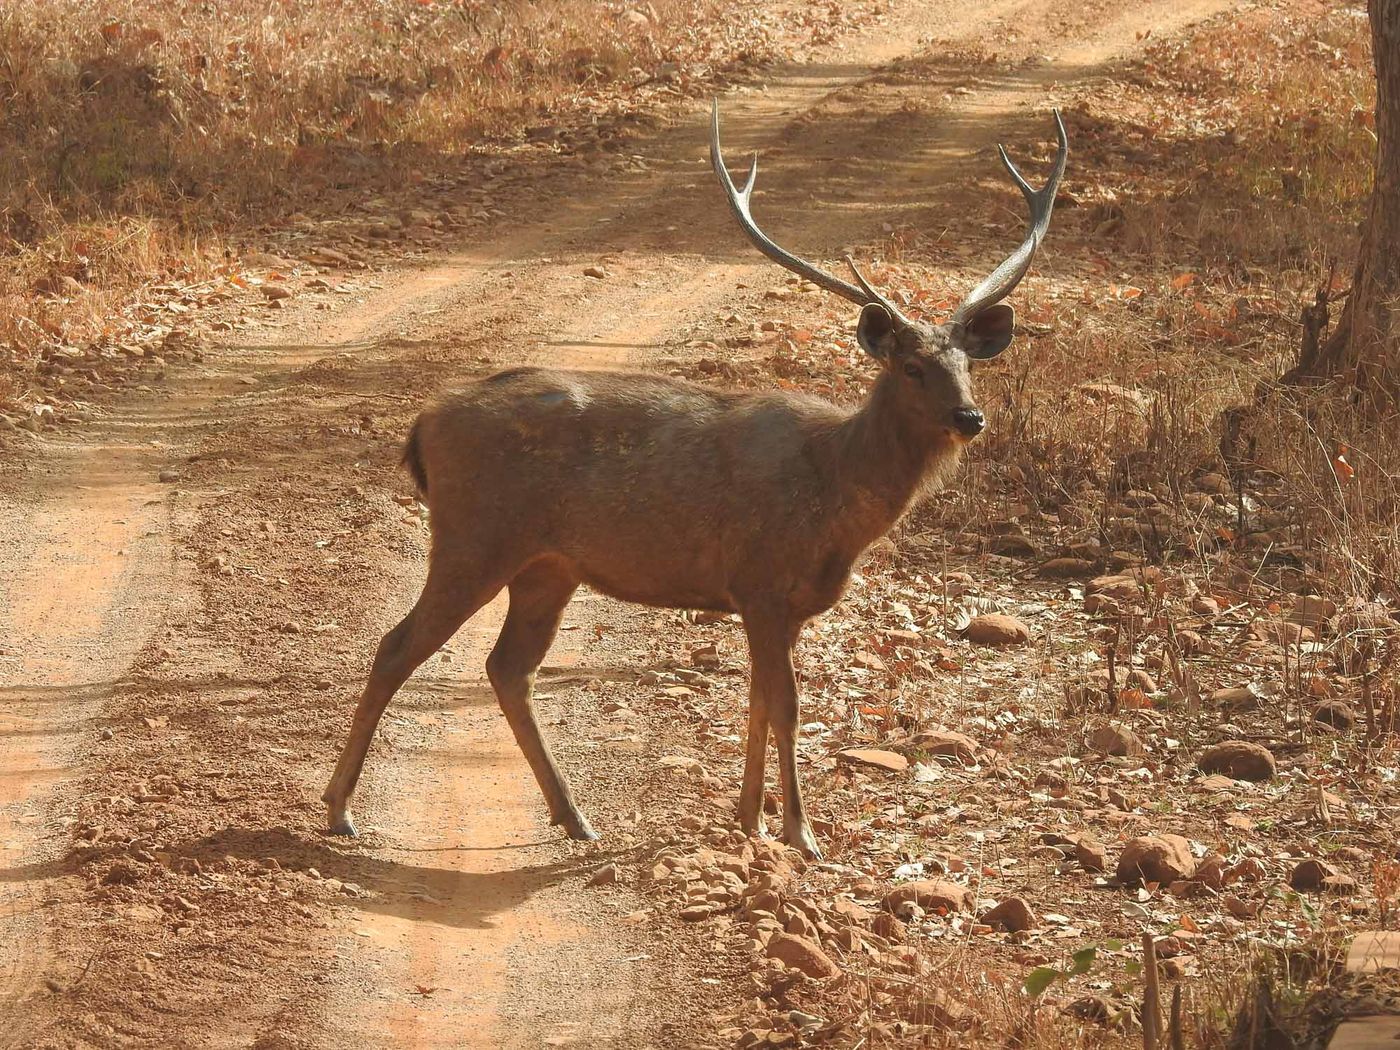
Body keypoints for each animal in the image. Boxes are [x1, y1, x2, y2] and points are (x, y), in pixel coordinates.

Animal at [322, 98, 1064, 856]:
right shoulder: (760, 581)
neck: (835, 496)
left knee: (508, 668)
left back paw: (574, 816)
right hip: (474, 535)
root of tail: (424, 424)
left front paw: (748, 818)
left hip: (548, 566)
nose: (970, 417)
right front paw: (799, 832)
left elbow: (759, 701)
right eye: (912, 367)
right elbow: (786, 705)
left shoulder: (783, 605)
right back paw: (338, 808)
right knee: (398, 646)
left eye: (968, 364)